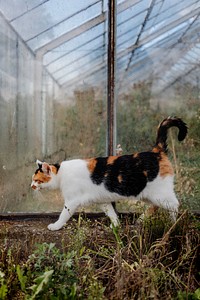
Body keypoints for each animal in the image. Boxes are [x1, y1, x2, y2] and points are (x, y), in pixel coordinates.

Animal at [30, 116, 187, 231]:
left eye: (37, 180)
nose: (31, 186)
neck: (61, 173)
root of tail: (156, 151)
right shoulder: (102, 201)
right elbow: (111, 212)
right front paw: (116, 225)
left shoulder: (71, 201)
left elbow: (64, 214)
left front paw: (55, 226)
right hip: (147, 194)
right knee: (157, 206)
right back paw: (141, 219)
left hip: (159, 193)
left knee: (174, 204)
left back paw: (172, 224)